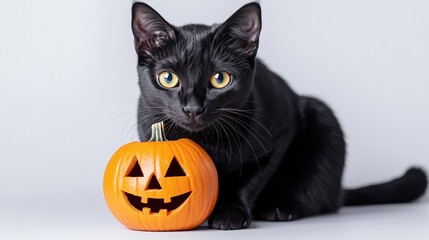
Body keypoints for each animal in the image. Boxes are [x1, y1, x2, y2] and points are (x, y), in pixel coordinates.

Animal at [130, 1, 424, 231]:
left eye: (220, 79)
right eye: (168, 78)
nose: (193, 108)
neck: (206, 141)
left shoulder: (277, 139)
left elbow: (249, 179)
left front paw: (231, 213)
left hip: (323, 118)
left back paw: (281, 207)